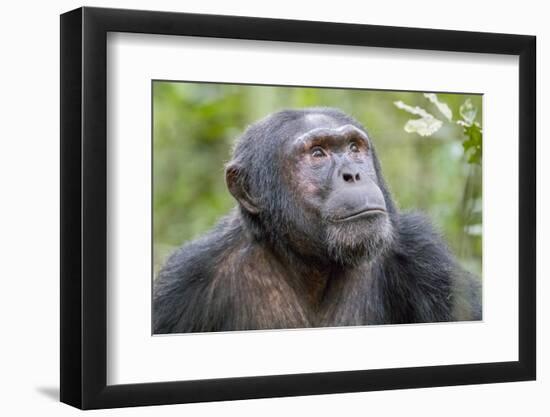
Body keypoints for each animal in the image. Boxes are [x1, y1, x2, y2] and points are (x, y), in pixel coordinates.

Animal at [152, 108, 484, 334]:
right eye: (318, 153)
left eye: (354, 148)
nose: (353, 173)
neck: (313, 263)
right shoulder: (183, 282)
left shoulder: (427, 257)